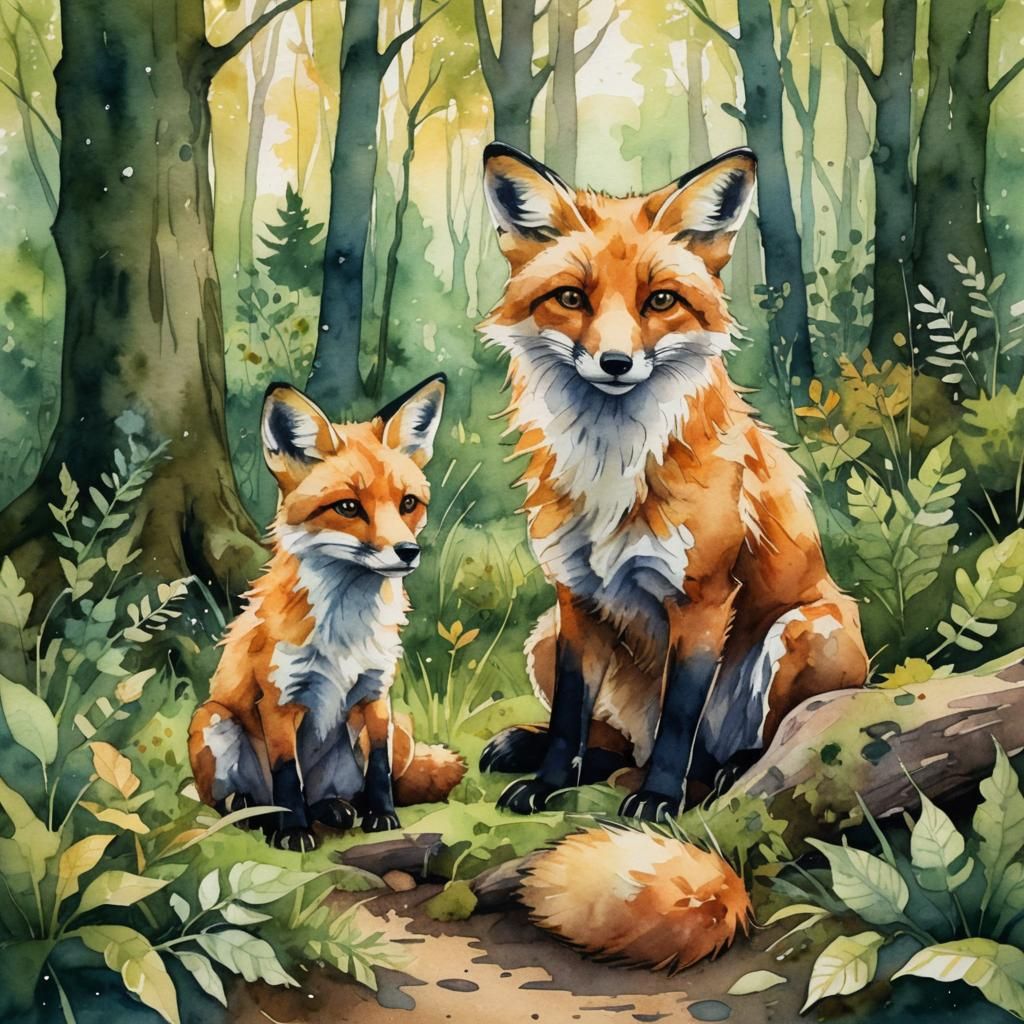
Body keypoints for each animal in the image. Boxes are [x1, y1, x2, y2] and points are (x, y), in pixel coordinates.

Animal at [188, 375, 465, 852]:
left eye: (408, 503)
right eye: (349, 507)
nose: (407, 552)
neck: (345, 632)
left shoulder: (376, 694)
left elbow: (378, 770)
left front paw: (383, 816)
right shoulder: (279, 700)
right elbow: (286, 777)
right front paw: (292, 832)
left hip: (397, 732)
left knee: (336, 792)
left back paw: (335, 809)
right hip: (212, 719)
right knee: (235, 803)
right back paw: (259, 814)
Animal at [477, 142, 868, 826]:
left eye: (660, 301)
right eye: (571, 298)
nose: (615, 363)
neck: (612, 469)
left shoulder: (702, 598)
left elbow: (679, 721)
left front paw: (660, 797)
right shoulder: (575, 599)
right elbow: (569, 716)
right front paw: (547, 784)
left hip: (807, 630)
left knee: (768, 736)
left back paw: (723, 771)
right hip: (543, 637)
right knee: (610, 742)